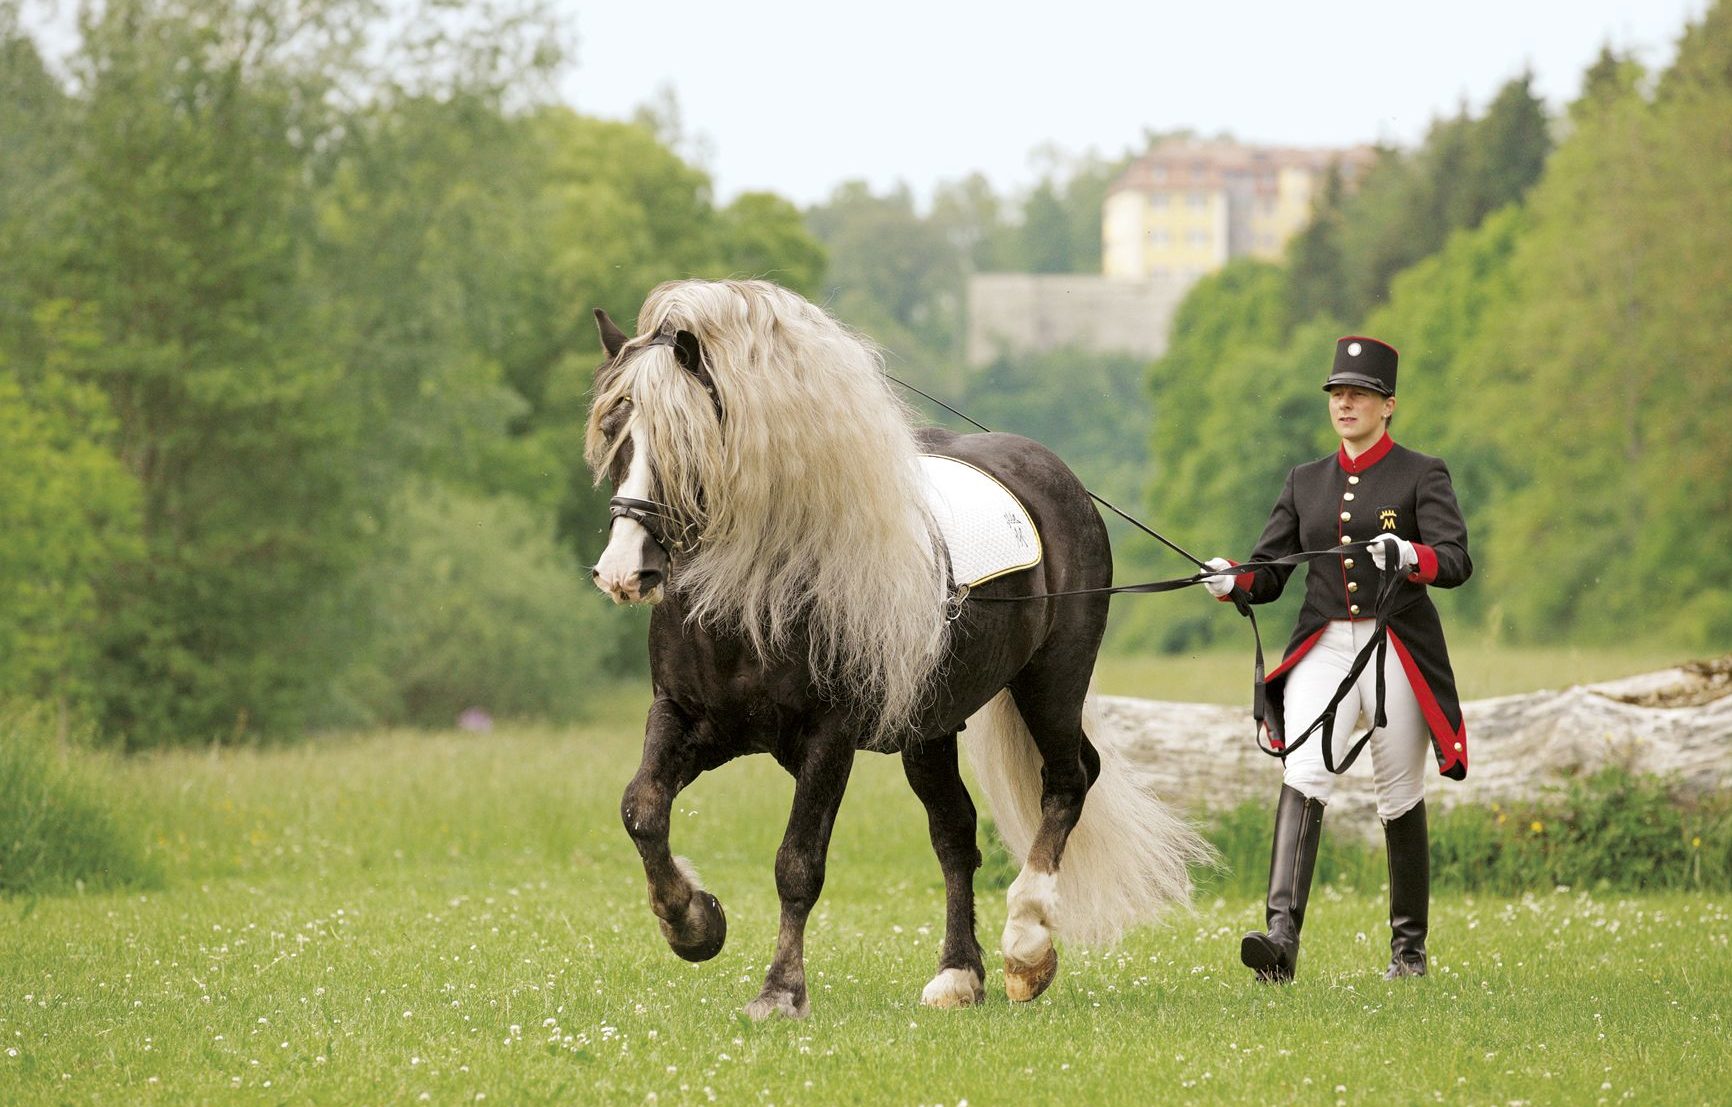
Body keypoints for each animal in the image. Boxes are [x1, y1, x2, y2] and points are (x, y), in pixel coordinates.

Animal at [581, 278, 1205, 1025]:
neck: (755, 591)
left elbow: (798, 863)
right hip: (929, 729)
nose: (624, 572)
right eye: (615, 434)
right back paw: (958, 975)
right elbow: (642, 809)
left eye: (687, 444)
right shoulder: (686, 716)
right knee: (956, 834)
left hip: (1051, 681)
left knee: (1068, 781)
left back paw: (1026, 946)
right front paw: (694, 923)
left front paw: (780, 991)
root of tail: (1060, 480)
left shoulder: (828, 737)